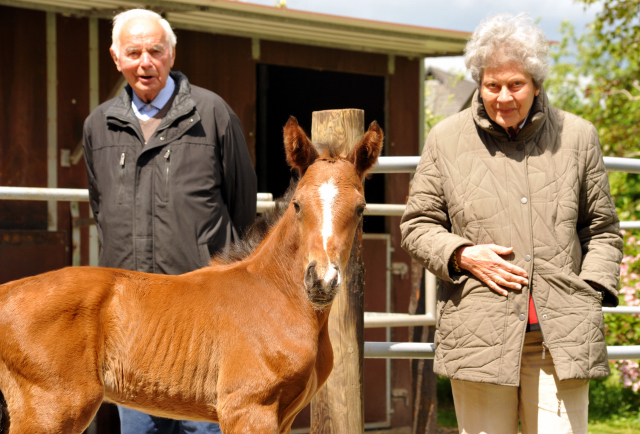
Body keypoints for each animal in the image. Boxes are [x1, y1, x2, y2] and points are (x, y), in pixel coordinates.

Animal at [0, 117, 380, 432]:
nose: (321, 281)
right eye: (298, 204)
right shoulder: (248, 409)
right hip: (51, 409)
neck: (276, 293)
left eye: (361, 208)